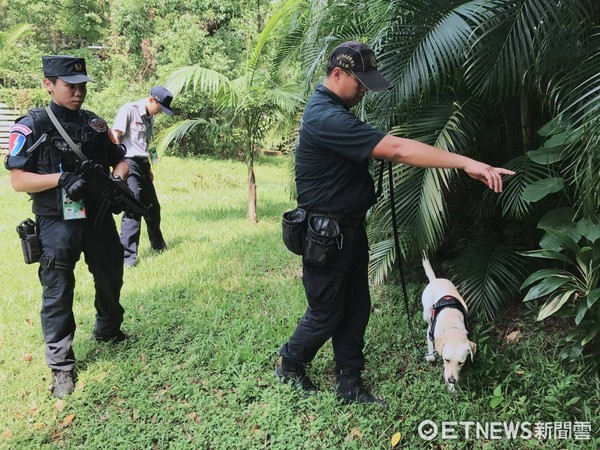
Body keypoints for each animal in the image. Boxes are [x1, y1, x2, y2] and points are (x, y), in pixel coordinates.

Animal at [422, 258, 478, 392]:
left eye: (461, 363)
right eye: (446, 360)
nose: (452, 380)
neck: (451, 326)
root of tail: (435, 280)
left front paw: (452, 388)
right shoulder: (430, 332)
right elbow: (431, 346)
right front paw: (431, 356)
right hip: (426, 311)